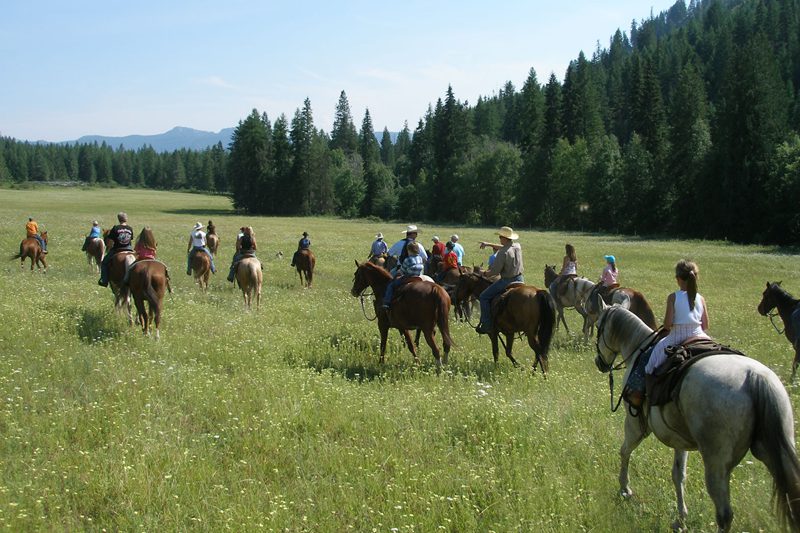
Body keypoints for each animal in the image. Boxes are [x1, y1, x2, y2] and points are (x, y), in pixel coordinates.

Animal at [592, 304, 800, 532]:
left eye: (598, 327)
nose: (599, 362)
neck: (638, 349)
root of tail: (755, 378)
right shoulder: (678, 440)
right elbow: (678, 475)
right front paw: (680, 519)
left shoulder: (636, 424)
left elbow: (625, 451)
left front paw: (625, 489)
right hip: (776, 452)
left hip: (716, 462)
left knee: (724, 514)